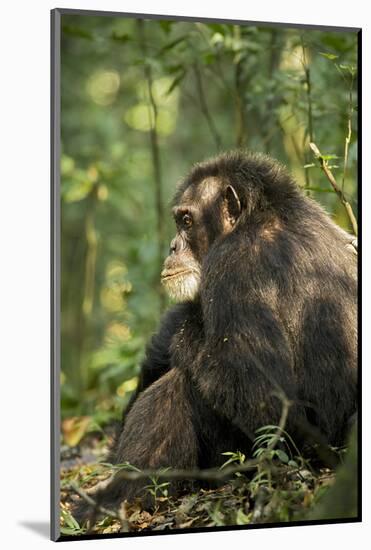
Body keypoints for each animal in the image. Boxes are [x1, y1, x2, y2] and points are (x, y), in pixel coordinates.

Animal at [75, 152, 358, 520]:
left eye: (186, 221)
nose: (173, 246)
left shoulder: (233, 269)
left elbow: (262, 398)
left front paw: (182, 333)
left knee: (181, 385)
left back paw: (114, 499)